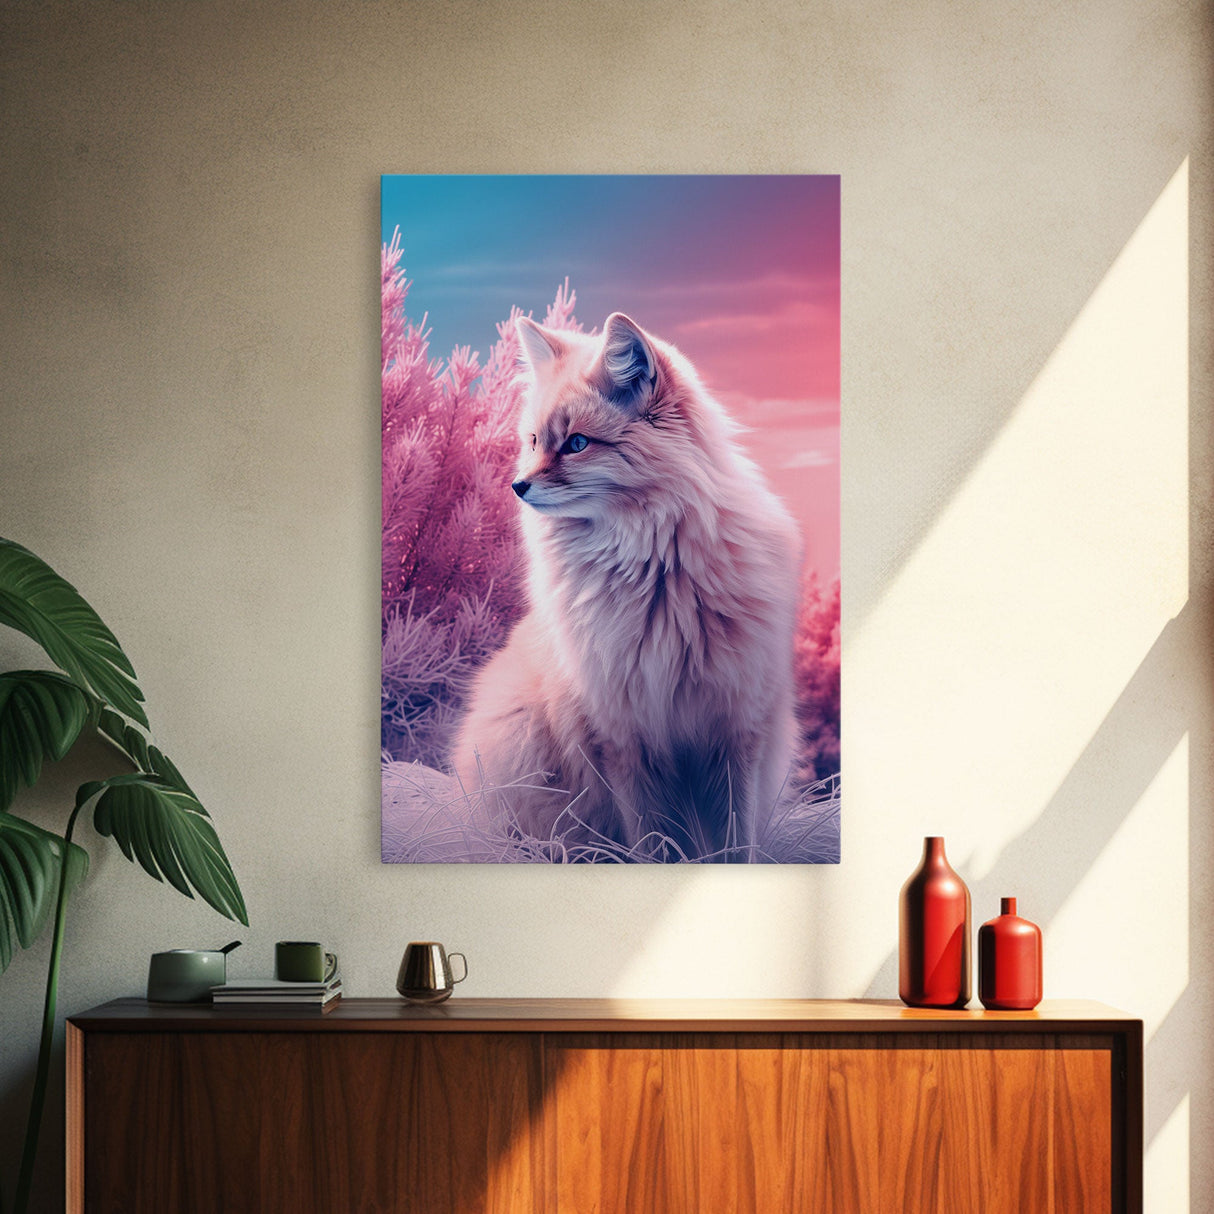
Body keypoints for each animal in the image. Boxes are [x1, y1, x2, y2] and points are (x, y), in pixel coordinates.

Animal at [452, 312, 802, 860]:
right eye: (533, 442)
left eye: (576, 443)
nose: (518, 486)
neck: (657, 588)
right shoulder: (622, 738)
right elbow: (652, 843)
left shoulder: (735, 729)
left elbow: (733, 842)